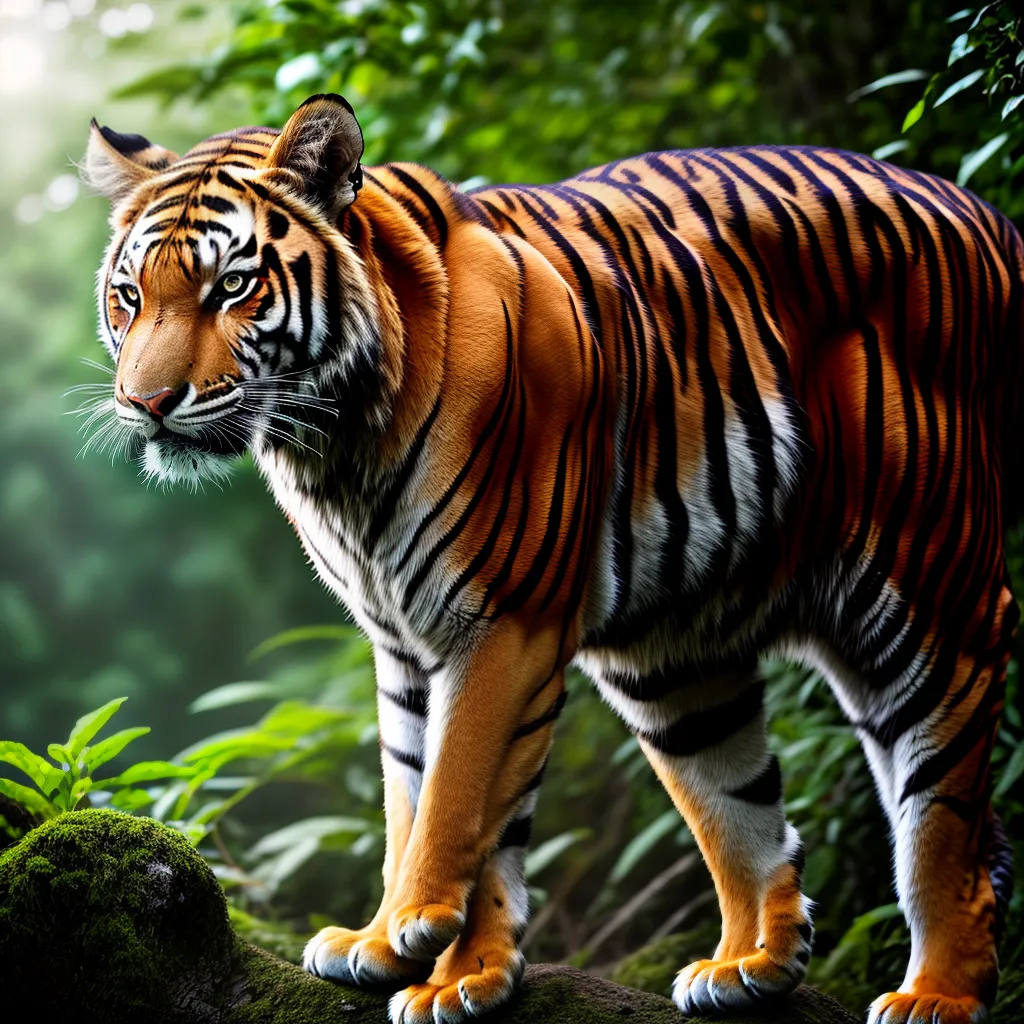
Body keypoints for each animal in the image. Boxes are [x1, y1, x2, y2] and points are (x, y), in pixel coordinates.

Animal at [82, 93, 1019, 1024]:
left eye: (232, 287)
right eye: (129, 296)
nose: (147, 403)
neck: (334, 450)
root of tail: (984, 212)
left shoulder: (504, 618)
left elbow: (457, 791)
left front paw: (418, 939)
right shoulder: (403, 641)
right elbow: (417, 793)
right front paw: (438, 963)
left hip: (931, 586)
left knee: (950, 818)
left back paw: (936, 994)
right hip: (673, 663)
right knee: (743, 805)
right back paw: (749, 963)